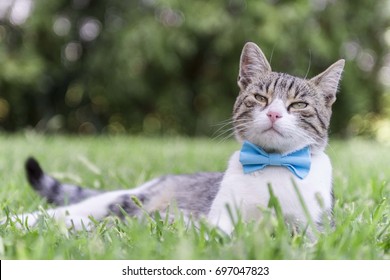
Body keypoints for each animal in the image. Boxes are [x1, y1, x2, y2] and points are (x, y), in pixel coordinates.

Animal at [6, 43, 344, 236]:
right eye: (260, 98)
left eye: (298, 105)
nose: (273, 113)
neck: (272, 163)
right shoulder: (220, 218)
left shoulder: (314, 228)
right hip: (125, 200)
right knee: (67, 213)